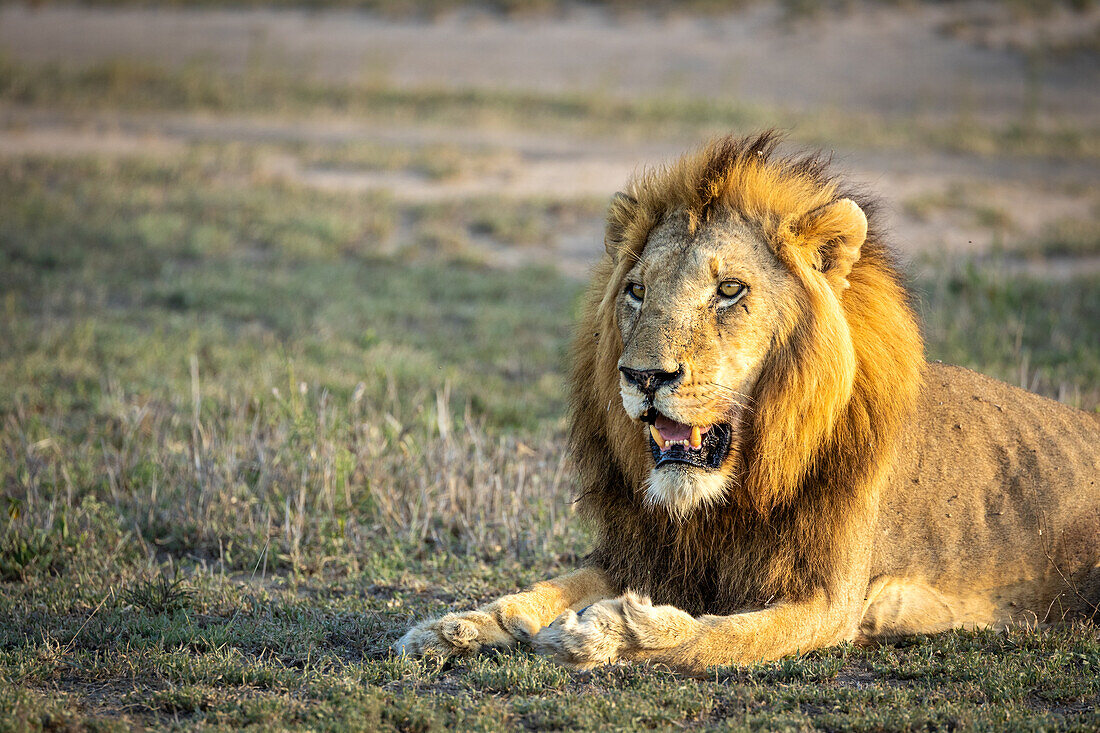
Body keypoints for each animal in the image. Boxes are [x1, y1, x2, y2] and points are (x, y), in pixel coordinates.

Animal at [396, 129, 1100, 669]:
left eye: (729, 290)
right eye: (636, 291)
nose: (643, 376)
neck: (729, 497)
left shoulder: (831, 601)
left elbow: (718, 636)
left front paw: (609, 632)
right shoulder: (648, 554)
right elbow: (539, 591)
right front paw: (454, 627)